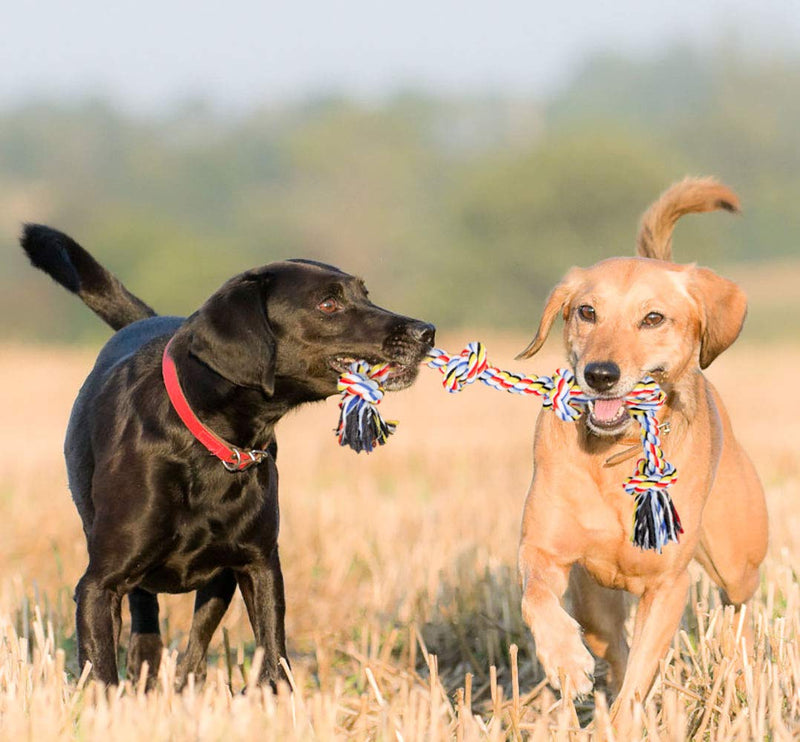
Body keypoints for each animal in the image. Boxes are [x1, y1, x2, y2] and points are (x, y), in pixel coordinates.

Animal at [21, 224, 434, 688]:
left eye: (365, 293)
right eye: (328, 304)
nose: (427, 332)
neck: (210, 443)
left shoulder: (259, 566)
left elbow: (274, 658)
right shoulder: (98, 586)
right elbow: (103, 672)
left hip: (220, 580)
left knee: (195, 646)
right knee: (148, 627)